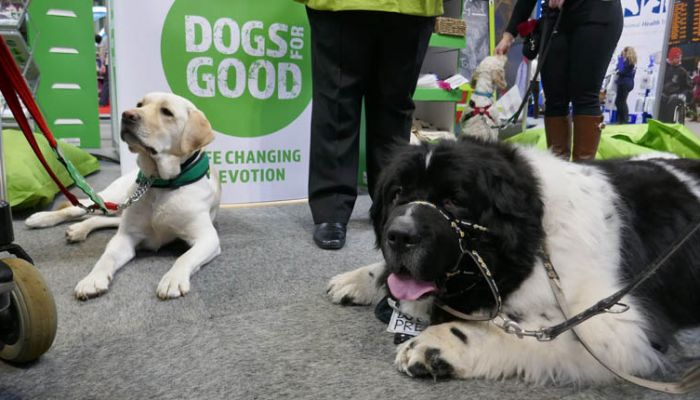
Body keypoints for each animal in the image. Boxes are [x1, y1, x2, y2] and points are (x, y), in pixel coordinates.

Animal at [328, 138, 700, 384]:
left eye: (453, 201)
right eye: (397, 194)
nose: (400, 235)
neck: (535, 237)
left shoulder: (616, 323)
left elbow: (521, 331)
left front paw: (437, 344)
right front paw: (360, 278)